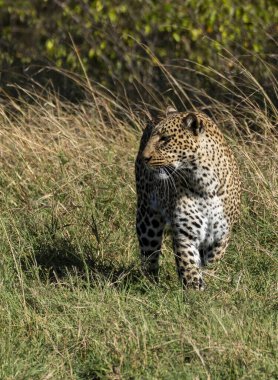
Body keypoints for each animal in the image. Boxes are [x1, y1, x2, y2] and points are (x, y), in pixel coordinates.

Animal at [136, 105, 240, 290]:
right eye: (153, 138)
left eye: (165, 139)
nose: (144, 157)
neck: (204, 183)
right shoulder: (185, 232)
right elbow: (188, 264)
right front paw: (194, 290)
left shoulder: (222, 233)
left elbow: (212, 259)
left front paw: (209, 277)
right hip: (147, 217)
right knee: (149, 254)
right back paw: (151, 284)